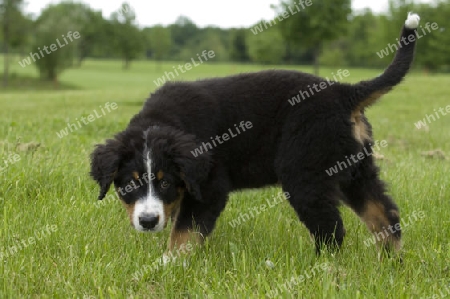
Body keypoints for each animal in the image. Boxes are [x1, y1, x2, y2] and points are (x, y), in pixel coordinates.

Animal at [90, 12, 422, 254]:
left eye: (166, 182)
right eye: (129, 185)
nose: (147, 222)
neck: (166, 120)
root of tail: (344, 92)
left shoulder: (210, 187)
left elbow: (184, 233)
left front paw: (169, 265)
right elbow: (176, 220)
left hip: (305, 174)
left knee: (332, 230)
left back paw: (322, 269)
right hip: (355, 168)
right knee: (386, 216)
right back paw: (390, 264)